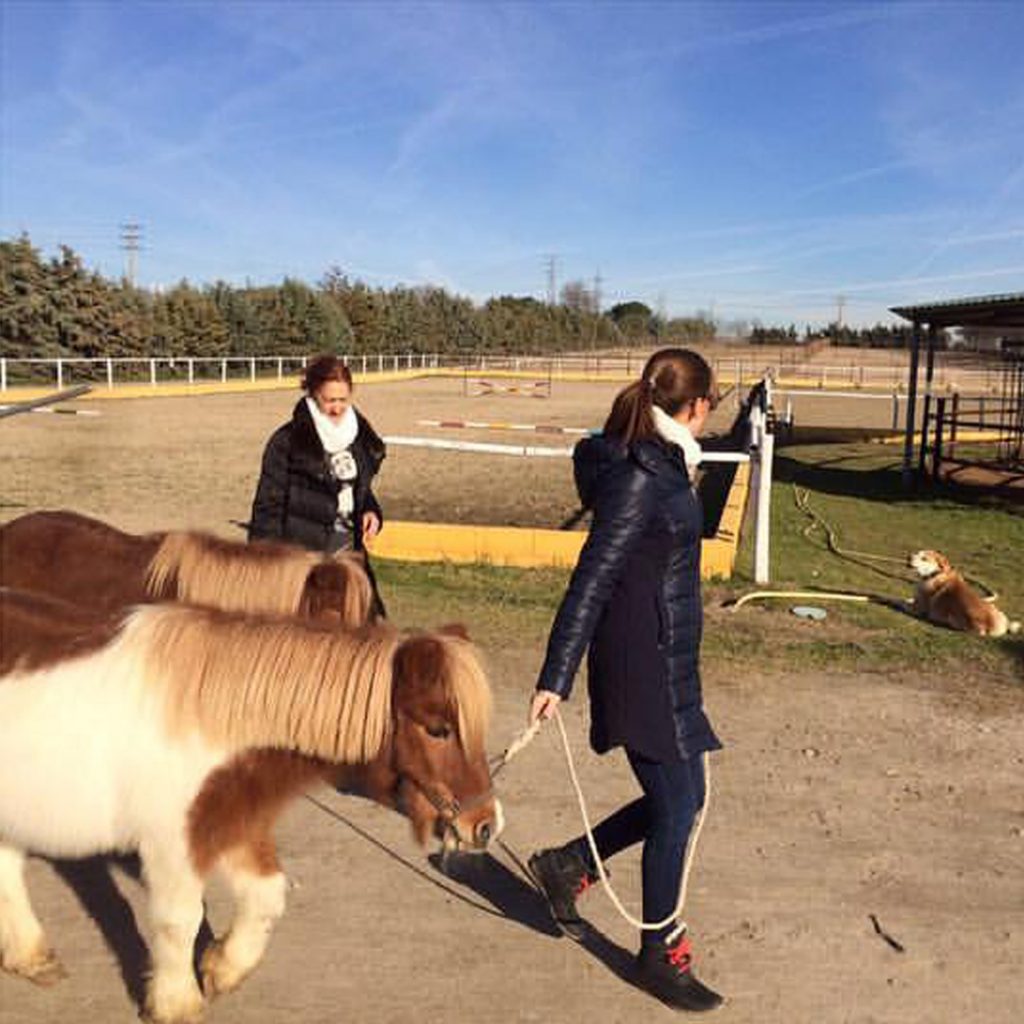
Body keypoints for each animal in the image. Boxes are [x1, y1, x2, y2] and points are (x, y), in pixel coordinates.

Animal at [0, 588, 501, 1023]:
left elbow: (267, 896)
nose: (486, 824)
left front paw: (221, 967)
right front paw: (177, 1004)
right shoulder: (175, 842)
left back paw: (31, 957)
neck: (213, 718)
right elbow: (179, 921)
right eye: (437, 729)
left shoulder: (236, 823)